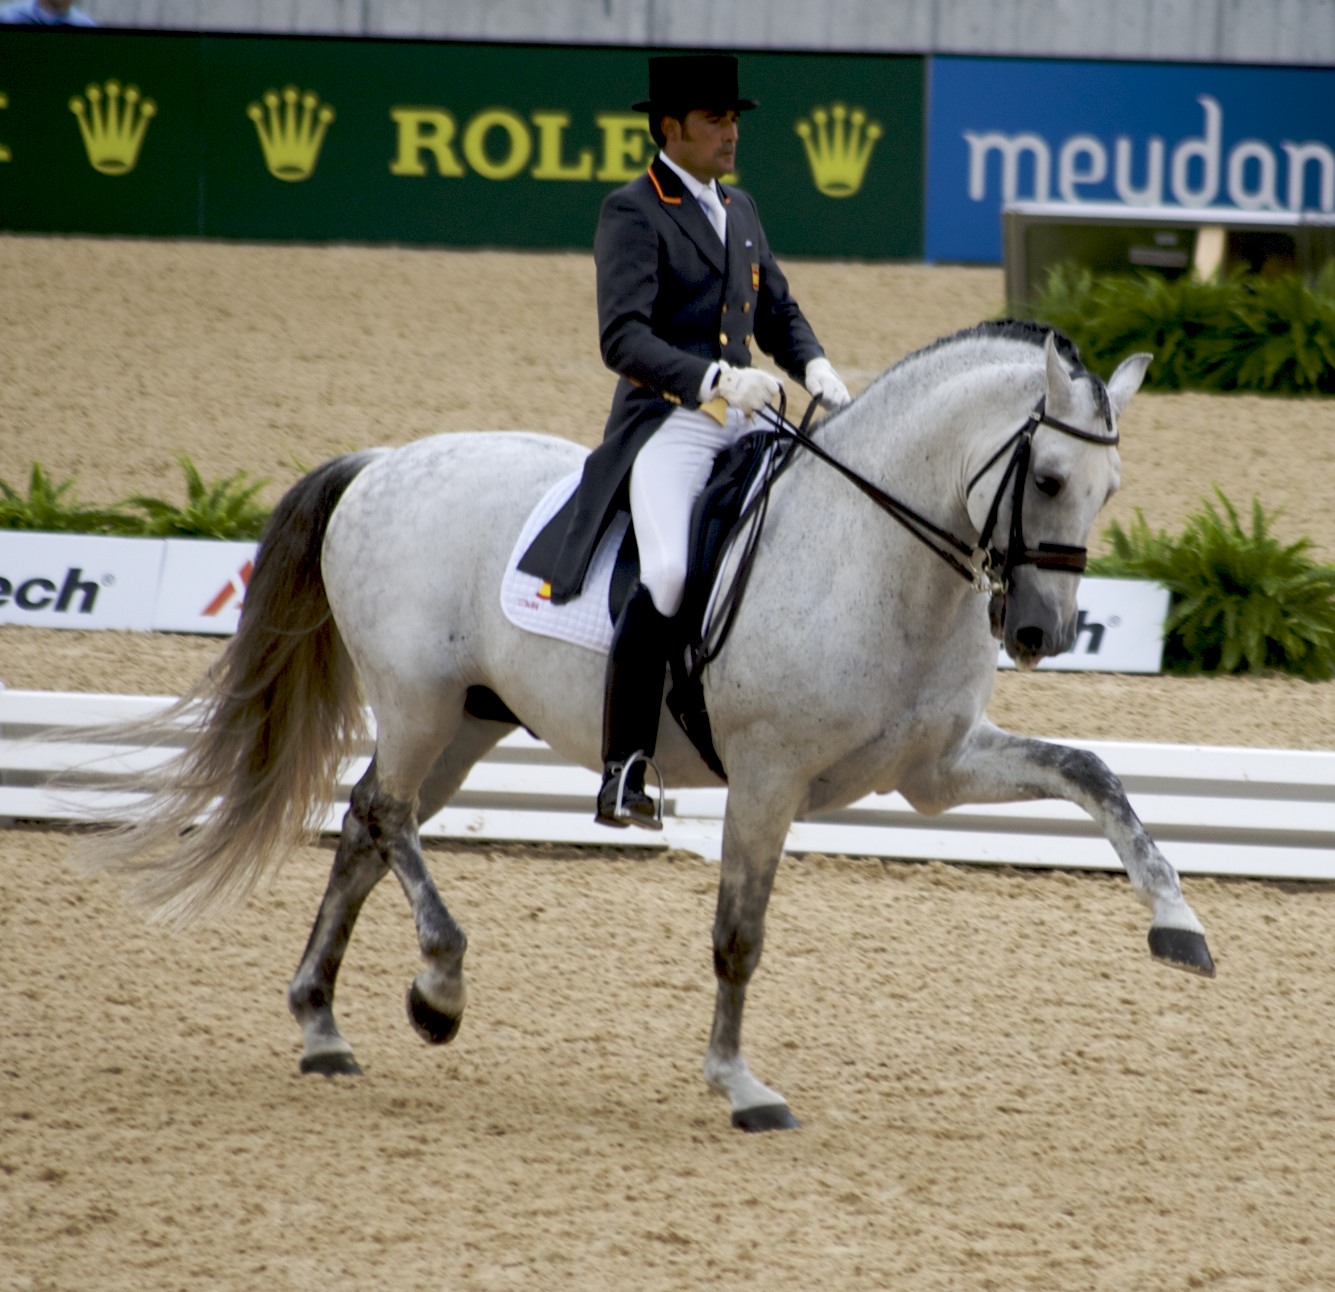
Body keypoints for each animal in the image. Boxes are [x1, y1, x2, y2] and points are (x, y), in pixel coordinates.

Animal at [80, 320, 1212, 1131]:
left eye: (1110, 489)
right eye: (1052, 478)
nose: (1040, 631)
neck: (877, 553)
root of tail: (384, 460)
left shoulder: (935, 770)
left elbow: (1093, 772)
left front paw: (1178, 924)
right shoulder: (768, 777)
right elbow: (739, 934)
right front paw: (740, 1084)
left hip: (465, 724)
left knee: (366, 822)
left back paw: (322, 1024)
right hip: (415, 702)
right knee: (389, 815)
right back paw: (438, 988)